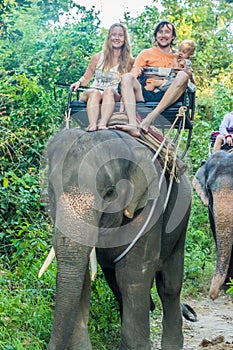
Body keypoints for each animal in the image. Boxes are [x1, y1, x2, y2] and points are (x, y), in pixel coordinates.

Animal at [45, 126, 191, 350]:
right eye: (52, 190)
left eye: (109, 192)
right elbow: (82, 277)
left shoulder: (148, 207)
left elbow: (133, 275)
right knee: (116, 283)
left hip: (181, 221)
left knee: (169, 285)